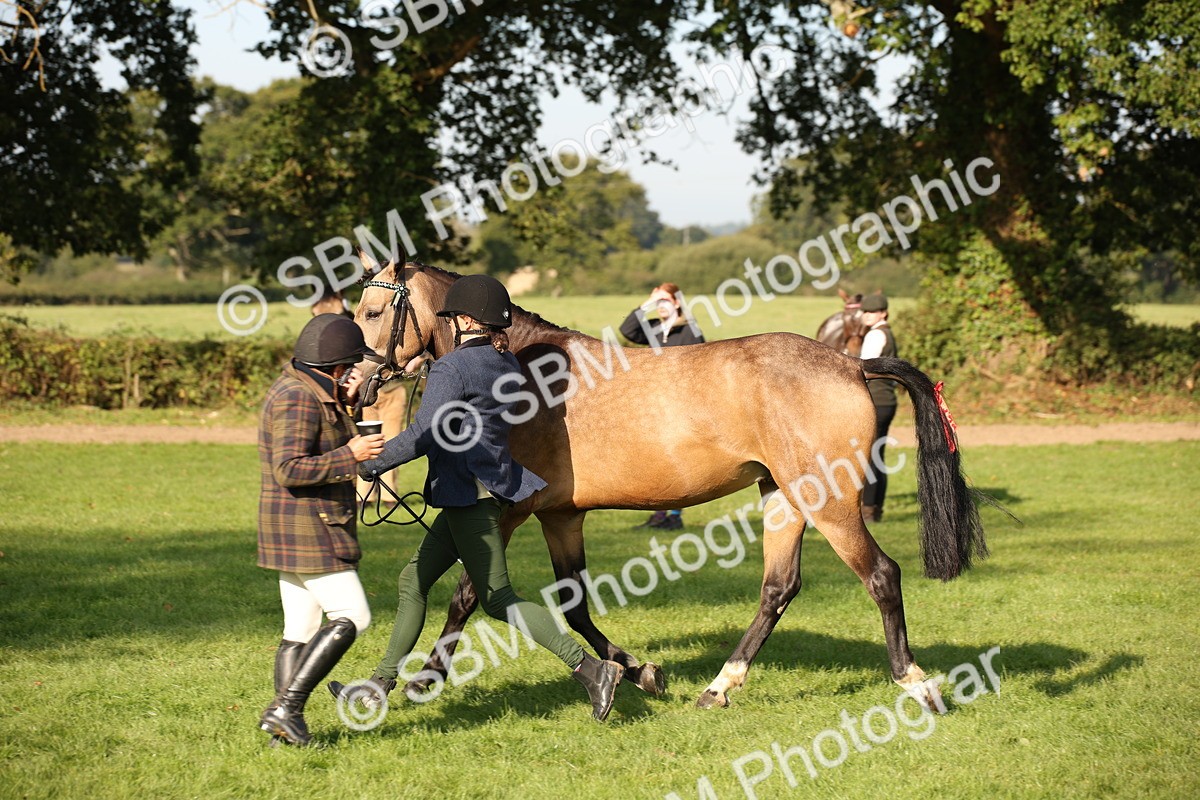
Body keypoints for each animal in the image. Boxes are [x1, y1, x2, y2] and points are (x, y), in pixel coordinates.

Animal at [353, 256, 987, 711]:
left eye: (370, 312)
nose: (353, 386)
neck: (521, 371)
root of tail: (851, 363)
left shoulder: (513, 507)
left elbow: (467, 593)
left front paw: (425, 679)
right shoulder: (561, 515)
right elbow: (574, 605)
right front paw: (642, 673)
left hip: (828, 502)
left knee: (881, 575)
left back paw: (916, 684)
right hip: (783, 497)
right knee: (778, 588)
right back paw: (720, 686)